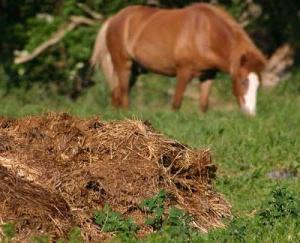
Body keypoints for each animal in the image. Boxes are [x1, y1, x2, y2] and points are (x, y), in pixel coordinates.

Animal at [90, 2, 266, 115]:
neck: (205, 33)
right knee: (124, 94)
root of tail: (114, 18)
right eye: (243, 81)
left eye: (258, 84)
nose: (250, 113)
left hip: (134, 70)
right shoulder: (183, 72)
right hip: (123, 65)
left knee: (116, 94)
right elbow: (176, 103)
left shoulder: (208, 75)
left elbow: (203, 105)